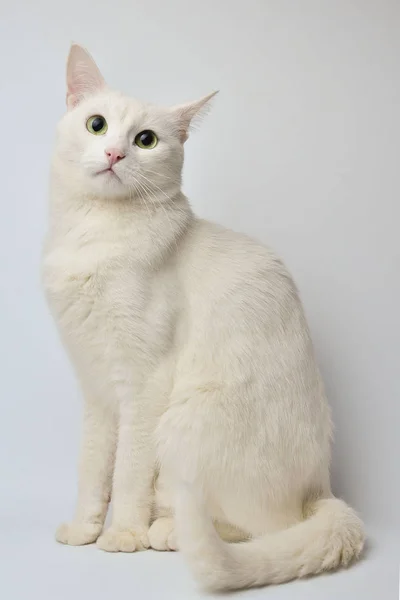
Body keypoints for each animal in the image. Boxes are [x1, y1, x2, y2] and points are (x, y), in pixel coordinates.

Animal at [42, 43, 364, 592]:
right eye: (97, 125)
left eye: (146, 140)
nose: (115, 154)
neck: (95, 233)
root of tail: (320, 488)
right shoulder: (98, 389)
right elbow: (93, 469)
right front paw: (84, 529)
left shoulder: (143, 384)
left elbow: (127, 474)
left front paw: (122, 535)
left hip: (186, 420)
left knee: (259, 526)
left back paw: (167, 531)